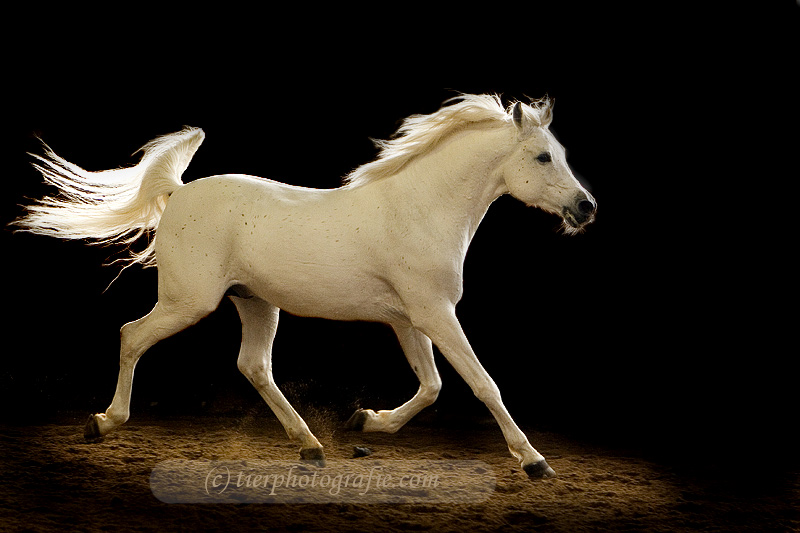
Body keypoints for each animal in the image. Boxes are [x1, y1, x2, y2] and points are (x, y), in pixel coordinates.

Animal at [17, 94, 592, 478]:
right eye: (543, 156)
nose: (586, 207)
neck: (420, 209)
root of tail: (178, 192)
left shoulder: (412, 319)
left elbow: (431, 386)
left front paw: (366, 421)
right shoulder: (435, 314)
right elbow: (482, 384)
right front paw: (535, 461)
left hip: (254, 303)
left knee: (253, 365)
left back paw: (310, 445)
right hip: (189, 301)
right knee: (133, 335)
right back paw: (103, 422)